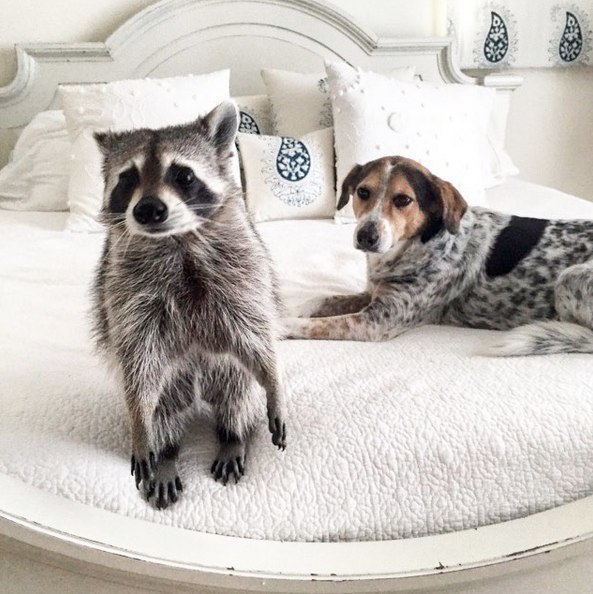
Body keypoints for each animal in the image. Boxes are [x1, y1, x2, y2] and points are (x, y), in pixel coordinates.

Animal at [91, 101, 287, 509]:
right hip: (172, 379)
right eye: (128, 179)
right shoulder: (124, 291)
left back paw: (233, 436)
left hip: (224, 368)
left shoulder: (243, 271)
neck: (176, 240)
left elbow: (256, 336)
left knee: (237, 394)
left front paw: (275, 385)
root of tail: (197, 386)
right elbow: (137, 360)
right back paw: (165, 453)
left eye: (183, 175)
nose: (149, 209)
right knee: (162, 408)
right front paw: (140, 422)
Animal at [283, 155, 593, 356]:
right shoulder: (373, 294)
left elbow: (314, 325)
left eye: (403, 200)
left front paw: (280, 326)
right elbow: (321, 299)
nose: (366, 237)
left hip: (570, 277)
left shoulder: (375, 321)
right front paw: (288, 309)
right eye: (362, 192)